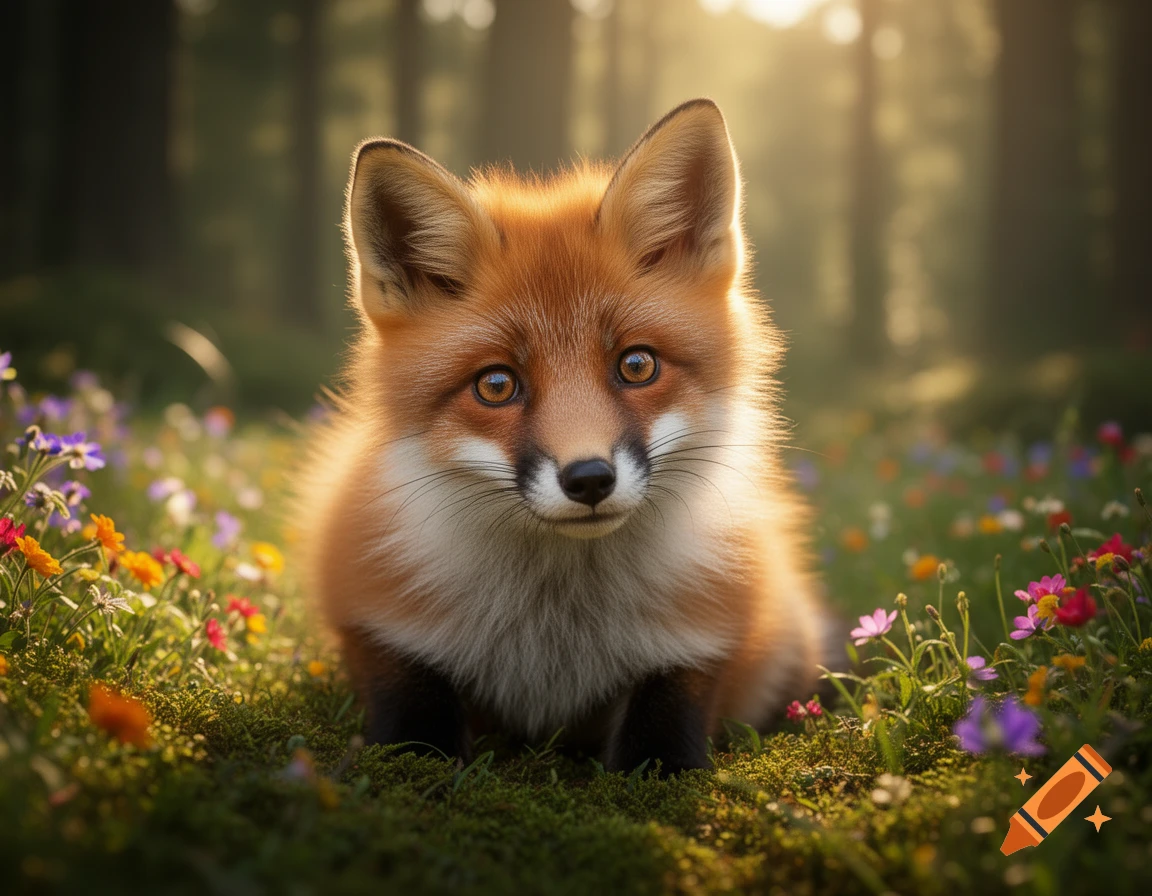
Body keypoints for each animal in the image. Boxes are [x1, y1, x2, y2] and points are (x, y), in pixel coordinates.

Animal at [298, 99, 839, 775]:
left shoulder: (696, 651)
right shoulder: (380, 626)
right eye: (496, 384)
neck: (556, 637)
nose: (589, 479)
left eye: (637, 365)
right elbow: (415, 738)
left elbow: (661, 753)